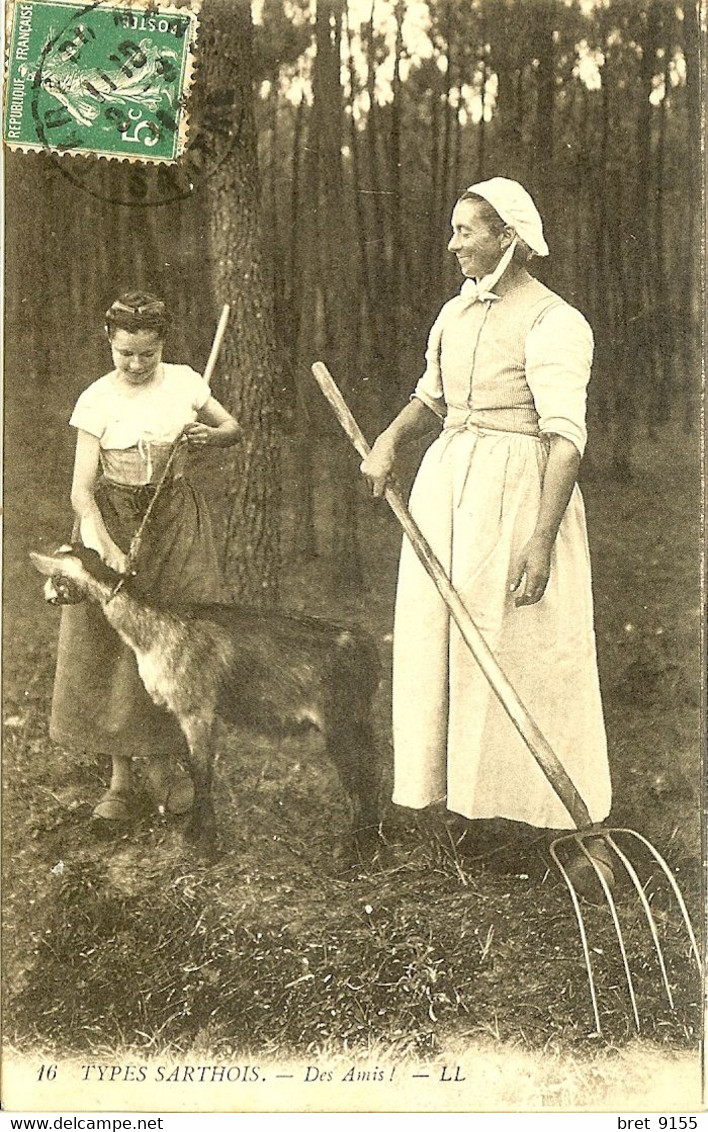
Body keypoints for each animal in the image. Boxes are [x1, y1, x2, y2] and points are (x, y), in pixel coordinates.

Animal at [29, 545, 380, 855]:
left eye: (55, 577)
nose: (46, 595)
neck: (154, 628)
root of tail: (368, 648)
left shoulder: (196, 710)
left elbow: (201, 772)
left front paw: (201, 839)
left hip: (341, 722)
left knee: (360, 780)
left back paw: (355, 851)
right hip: (359, 721)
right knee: (372, 771)